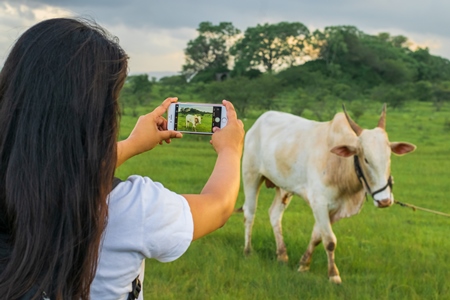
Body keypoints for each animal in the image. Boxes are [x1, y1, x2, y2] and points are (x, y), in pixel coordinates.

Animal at [243, 105, 414, 284]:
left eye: (389, 157)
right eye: (366, 159)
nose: (384, 201)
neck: (339, 164)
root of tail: (259, 121)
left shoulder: (334, 209)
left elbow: (317, 237)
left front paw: (303, 265)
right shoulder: (319, 204)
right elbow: (330, 240)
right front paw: (333, 275)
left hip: (284, 188)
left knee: (274, 214)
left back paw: (282, 256)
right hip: (251, 174)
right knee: (249, 213)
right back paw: (248, 252)